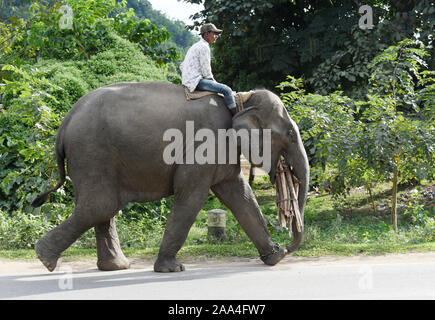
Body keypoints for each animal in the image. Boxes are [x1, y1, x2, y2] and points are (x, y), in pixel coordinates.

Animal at [32, 80, 310, 272]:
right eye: (290, 134)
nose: (288, 246)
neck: (241, 100)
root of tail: (64, 124)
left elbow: (240, 195)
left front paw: (275, 257)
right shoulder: (205, 145)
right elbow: (191, 196)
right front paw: (172, 269)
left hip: (93, 159)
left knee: (102, 207)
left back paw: (115, 267)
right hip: (91, 153)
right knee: (100, 205)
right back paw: (45, 258)